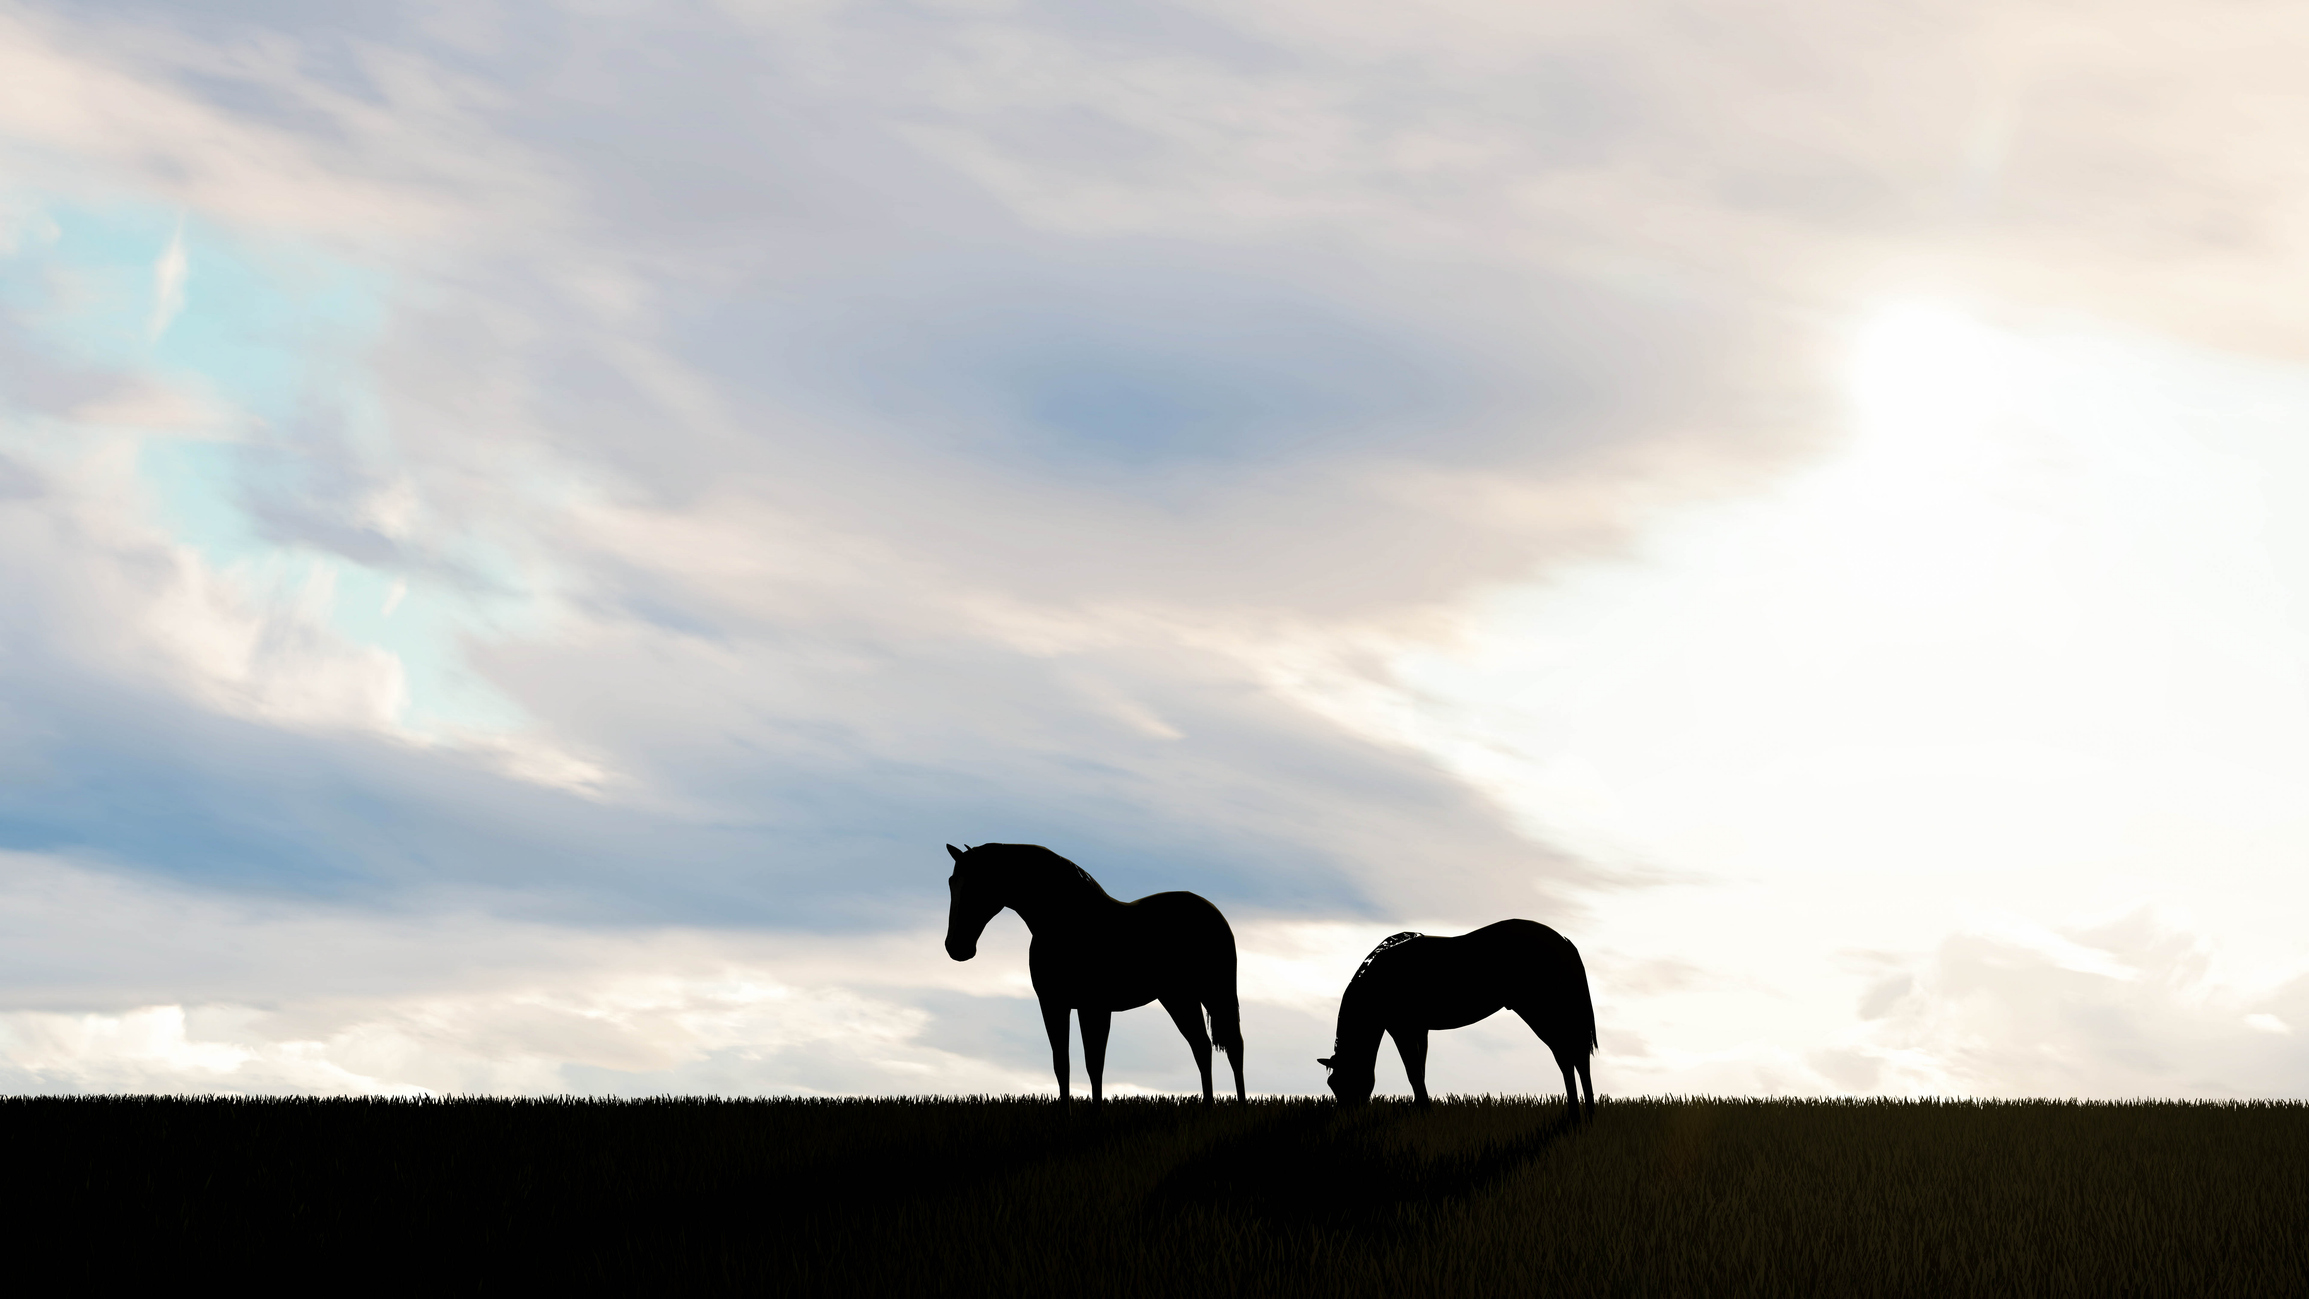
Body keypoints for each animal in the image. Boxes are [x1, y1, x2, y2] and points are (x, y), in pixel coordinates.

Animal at [943, 843, 1246, 1104]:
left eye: (978, 883)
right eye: (951, 882)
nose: (955, 947)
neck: (1067, 923)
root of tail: (1210, 910)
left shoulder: (1095, 1007)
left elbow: (1094, 1063)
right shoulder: (1053, 1005)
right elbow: (1062, 1064)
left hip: (1215, 991)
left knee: (1234, 1045)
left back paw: (1240, 1108)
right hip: (1178, 997)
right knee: (1201, 1046)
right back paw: (1207, 1109)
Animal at [1317, 920, 1595, 1121]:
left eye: (1342, 1081)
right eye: (1331, 1084)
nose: (1345, 1116)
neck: (1380, 980)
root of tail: (1563, 942)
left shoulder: (1401, 1028)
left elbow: (1413, 1071)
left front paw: (1425, 1110)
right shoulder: (1419, 1028)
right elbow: (1420, 1068)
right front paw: (1420, 1108)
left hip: (1541, 1012)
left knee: (1567, 1055)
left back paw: (1576, 1115)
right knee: (1577, 1056)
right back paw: (1586, 1114)